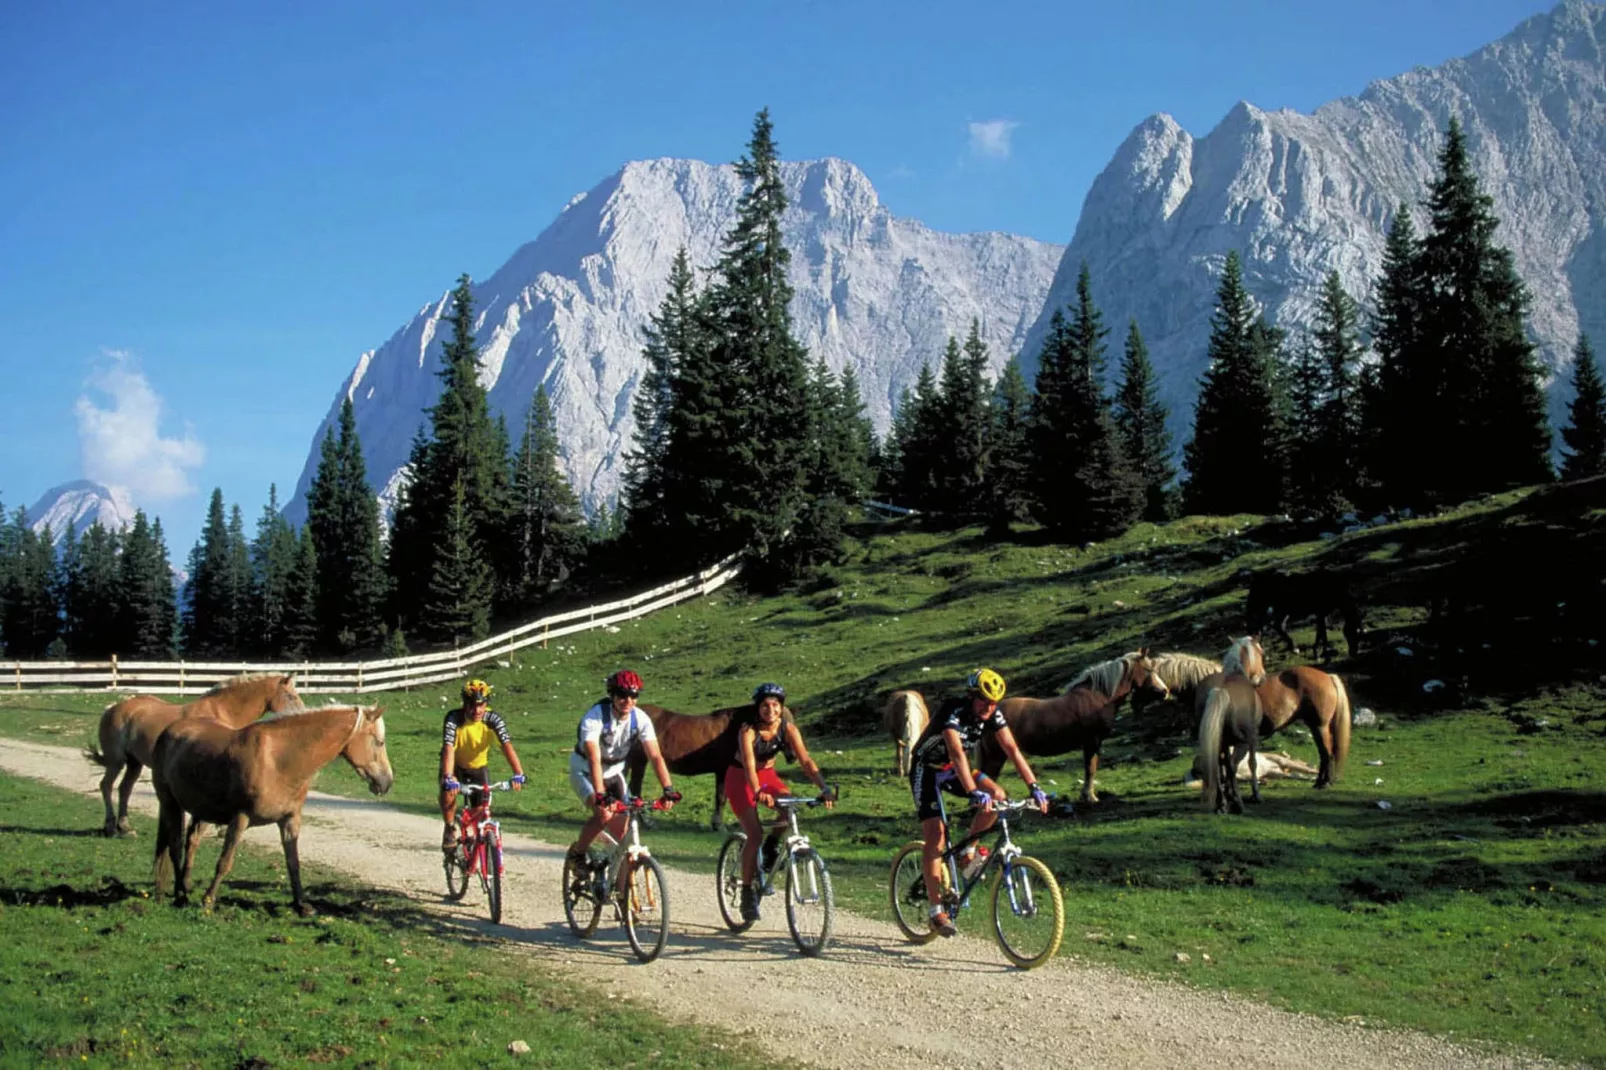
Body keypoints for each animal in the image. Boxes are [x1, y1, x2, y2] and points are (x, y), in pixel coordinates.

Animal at [87, 671, 303, 835]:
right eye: (291, 696)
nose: (302, 714)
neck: (220, 712)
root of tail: (113, 709)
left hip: (134, 763)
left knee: (125, 789)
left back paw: (125, 827)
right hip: (116, 761)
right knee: (106, 786)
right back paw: (110, 826)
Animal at [970, 649, 1175, 800]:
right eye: (1148, 669)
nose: (1164, 691)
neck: (1099, 697)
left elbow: (1090, 768)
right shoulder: (1092, 742)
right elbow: (1090, 768)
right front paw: (1090, 797)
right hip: (996, 756)